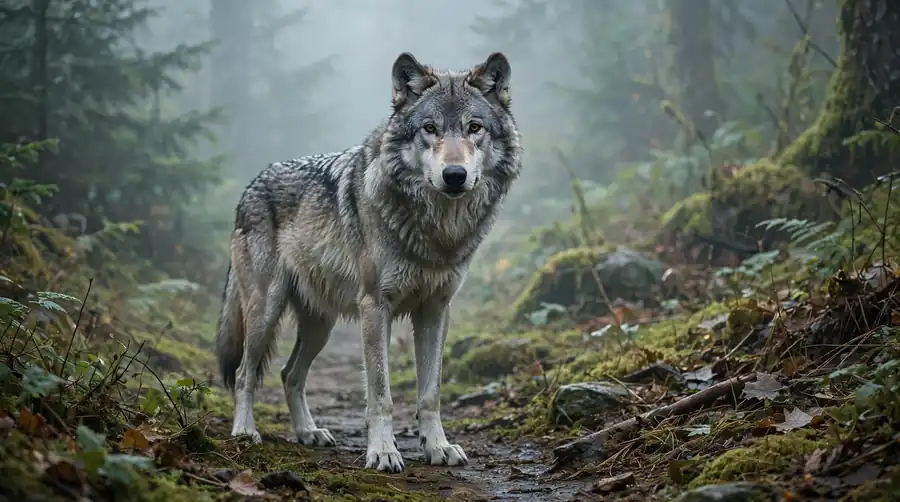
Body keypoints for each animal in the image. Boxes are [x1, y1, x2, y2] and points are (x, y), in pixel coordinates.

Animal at [215, 52, 522, 473]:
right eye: (429, 128)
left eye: (474, 128)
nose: (454, 175)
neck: (436, 230)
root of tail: (252, 185)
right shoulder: (375, 307)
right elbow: (381, 393)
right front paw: (383, 451)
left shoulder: (436, 309)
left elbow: (430, 393)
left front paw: (437, 447)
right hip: (265, 310)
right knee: (246, 373)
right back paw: (245, 432)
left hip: (320, 326)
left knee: (289, 374)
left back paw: (309, 432)